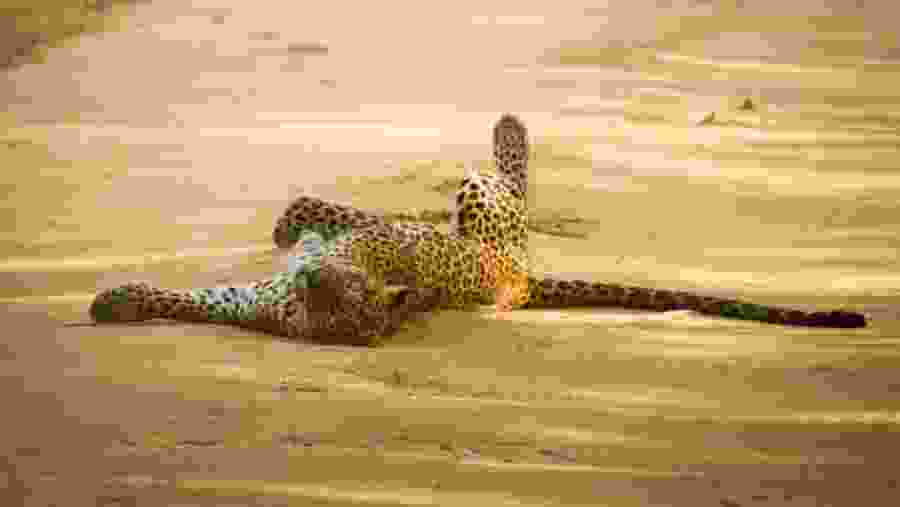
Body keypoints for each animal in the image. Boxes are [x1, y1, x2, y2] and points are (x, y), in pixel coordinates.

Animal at [90, 114, 866, 342]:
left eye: (352, 296)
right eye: (333, 299)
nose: (315, 280)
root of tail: (525, 279)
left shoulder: (366, 234)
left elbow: (324, 210)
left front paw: (290, 225)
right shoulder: (245, 301)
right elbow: (182, 299)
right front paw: (118, 300)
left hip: (481, 210)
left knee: (508, 179)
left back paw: (509, 125)